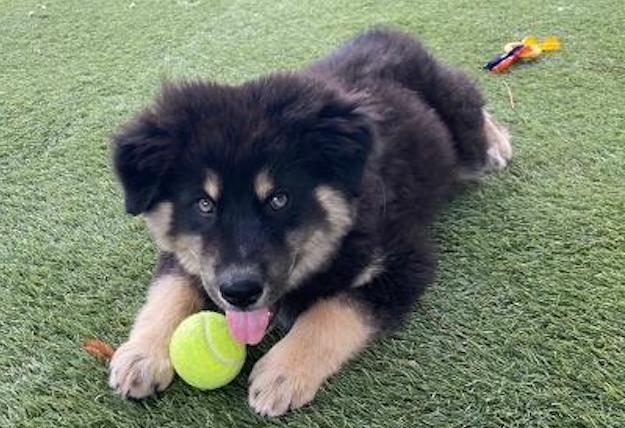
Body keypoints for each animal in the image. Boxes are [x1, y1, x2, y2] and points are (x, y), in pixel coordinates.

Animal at [108, 29, 508, 414]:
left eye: (279, 199)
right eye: (204, 204)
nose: (239, 292)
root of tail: (386, 33)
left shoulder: (403, 260)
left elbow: (331, 311)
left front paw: (283, 372)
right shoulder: (188, 258)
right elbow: (169, 291)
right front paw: (140, 354)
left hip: (457, 121)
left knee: (472, 100)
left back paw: (498, 143)